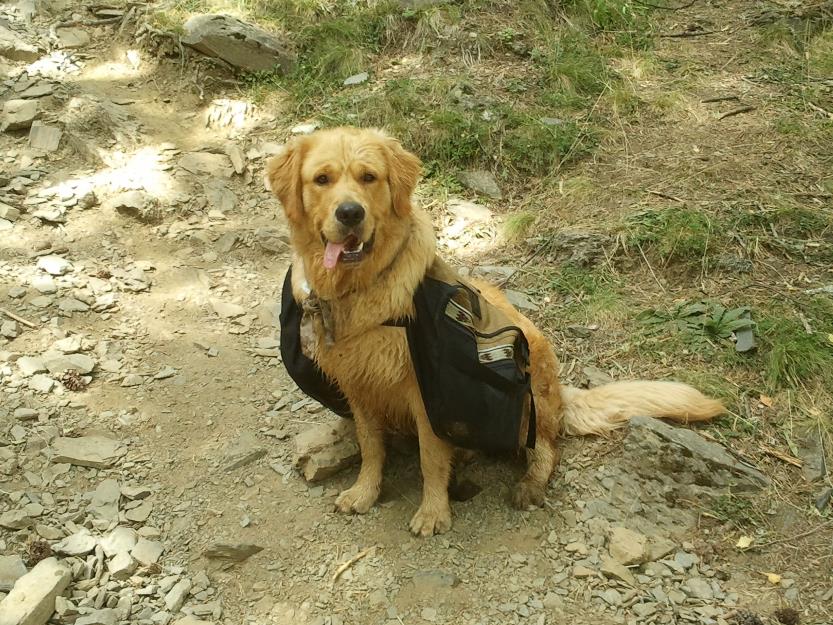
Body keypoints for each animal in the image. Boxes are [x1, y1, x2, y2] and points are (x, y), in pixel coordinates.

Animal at [264, 127, 720, 536]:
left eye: (368, 177)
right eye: (322, 179)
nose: (350, 213)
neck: (360, 288)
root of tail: (561, 391)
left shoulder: (429, 392)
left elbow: (431, 458)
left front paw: (434, 512)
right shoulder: (359, 387)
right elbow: (371, 446)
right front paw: (365, 491)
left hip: (530, 383)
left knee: (546, 448)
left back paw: (528, 484)